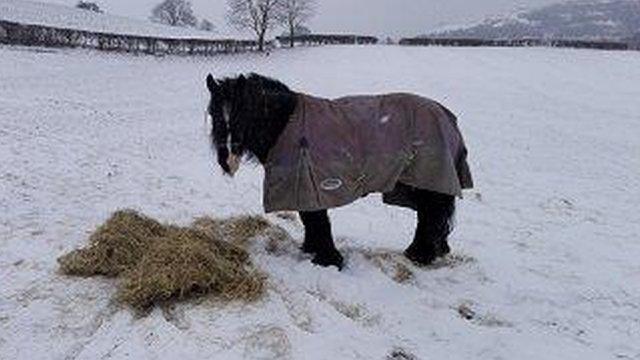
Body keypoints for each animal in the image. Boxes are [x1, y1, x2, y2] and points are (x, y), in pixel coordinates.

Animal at [208, 74, 472, 270]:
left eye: (244, 114)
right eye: (214, 115)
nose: (227, 159)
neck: (286, 124)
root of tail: (447, 116)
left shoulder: (311, 184)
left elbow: (319, 221)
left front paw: (327, 259)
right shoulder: (304, 188)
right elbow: (309, 219)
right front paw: (311, 249)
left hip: (430, 182)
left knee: (431, 216)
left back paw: (420, 255)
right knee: (431, 217)